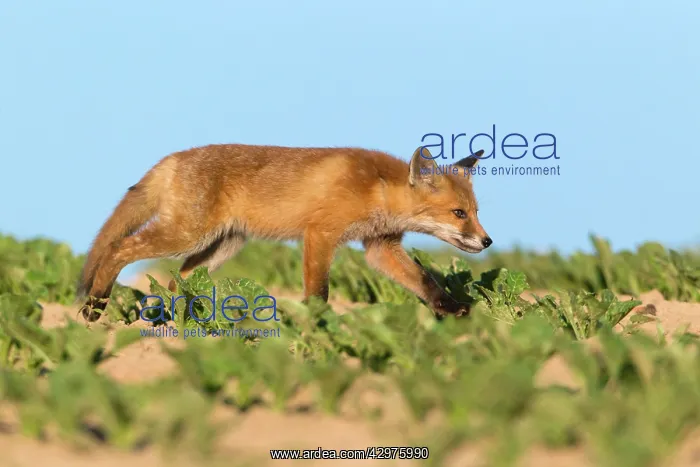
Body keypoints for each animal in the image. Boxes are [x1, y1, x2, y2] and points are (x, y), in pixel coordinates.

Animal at [77, 144, 492, 322]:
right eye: (458, 214)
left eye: (476, 213)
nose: (487, 241)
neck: (376, 188)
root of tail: (173, 158)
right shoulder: (320, 234)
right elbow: (319, 292)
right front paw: (318, 324)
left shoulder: (380, 247)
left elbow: (425, 282)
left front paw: (452, 309)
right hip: (185, 235)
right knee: (118, 248)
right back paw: (95, 305)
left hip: (221, 246)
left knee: (179, 281)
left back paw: (183, 323)